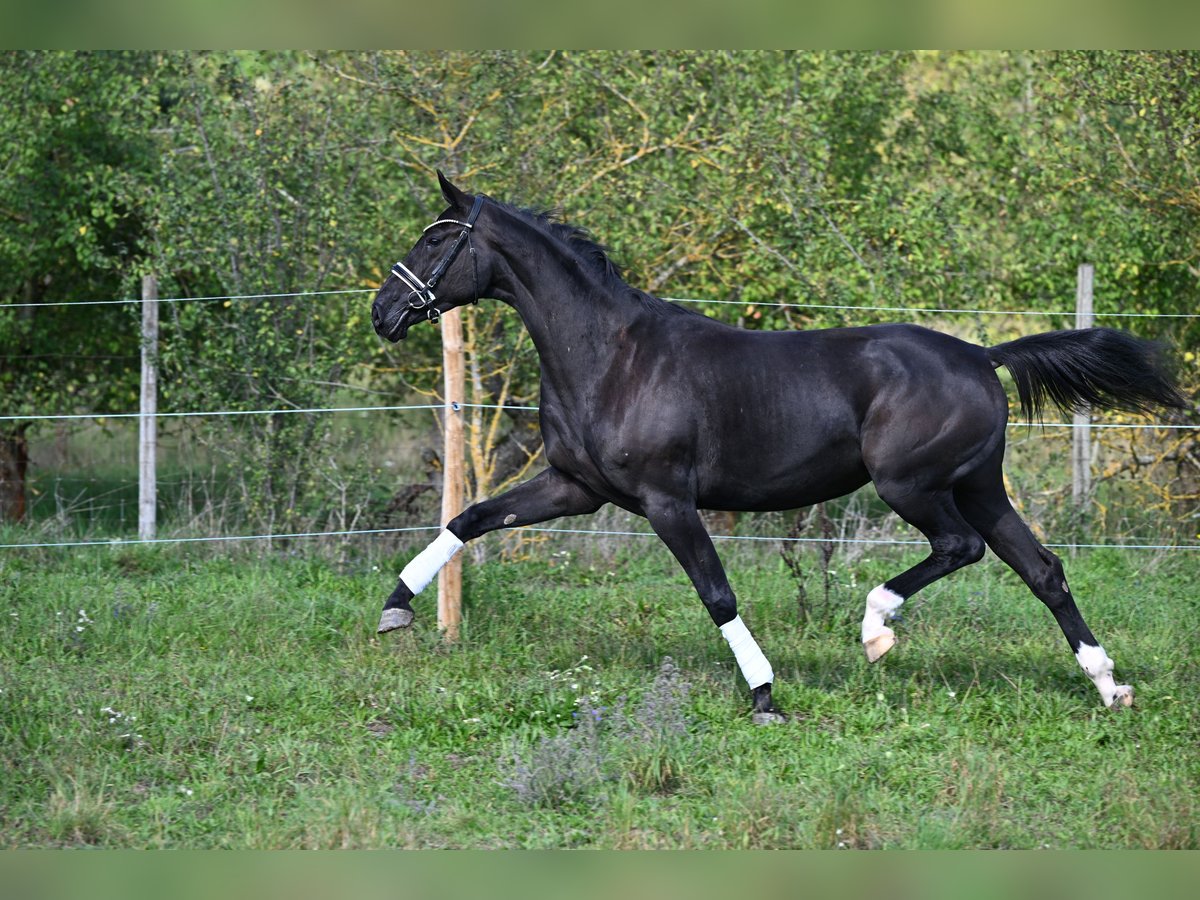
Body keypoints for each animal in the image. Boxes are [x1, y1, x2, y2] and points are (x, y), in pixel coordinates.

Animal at [370, 172, 1185, 722]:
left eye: (438, 237)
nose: (384, 311)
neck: (611, 355)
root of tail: (983, 357)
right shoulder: (576, 488)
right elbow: (470, 518)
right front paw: (395, 608)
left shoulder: (668, 500)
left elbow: (717, 592)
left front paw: (764, 695)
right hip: (979, 485)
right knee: (1042, 569)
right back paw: (1109, 685)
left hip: (912, 485)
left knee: (962, 548)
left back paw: (876, 630)